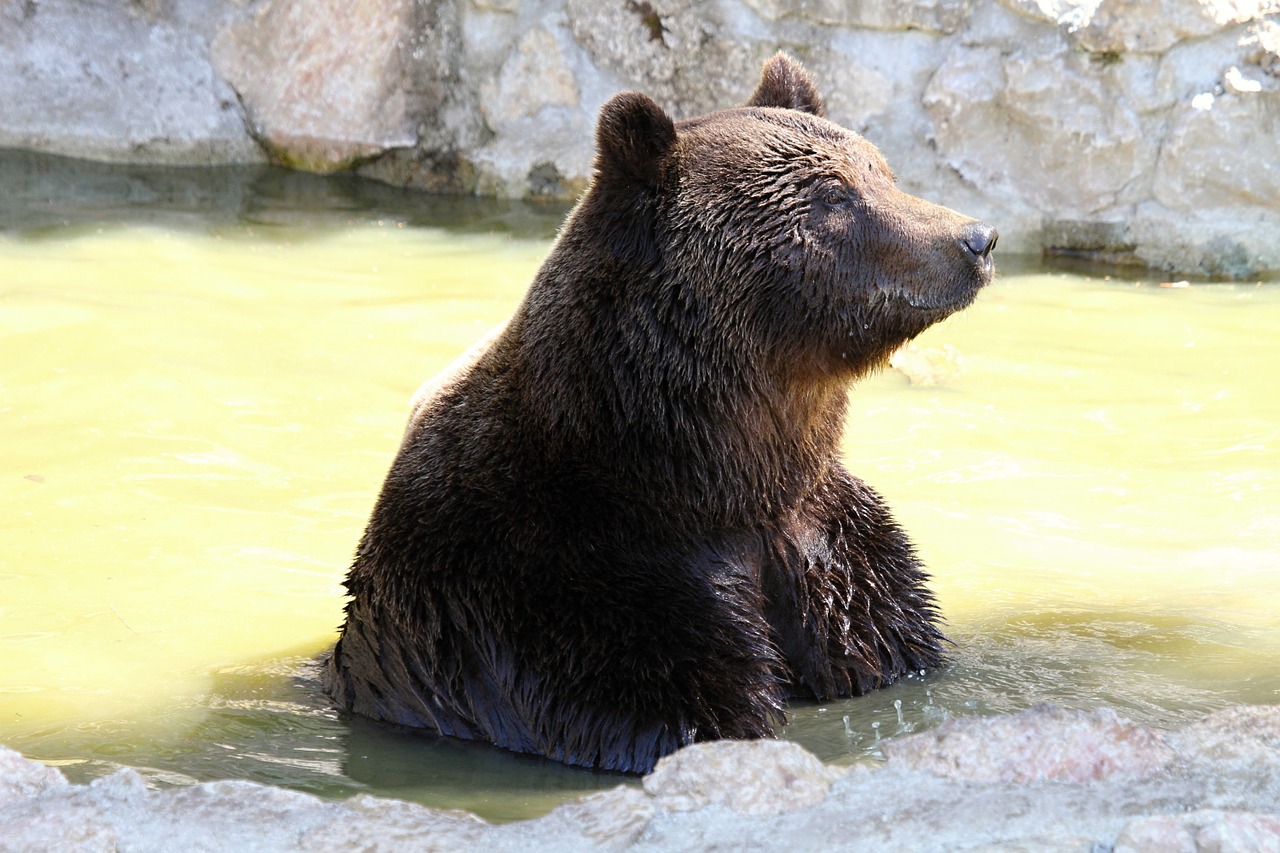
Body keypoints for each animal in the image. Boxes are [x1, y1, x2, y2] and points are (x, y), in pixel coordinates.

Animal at [322, 51, 998, 768]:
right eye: (833, 195)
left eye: (882, 170)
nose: (975, 238)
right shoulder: (559, 596)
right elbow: (677, 697)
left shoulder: (837, 557)